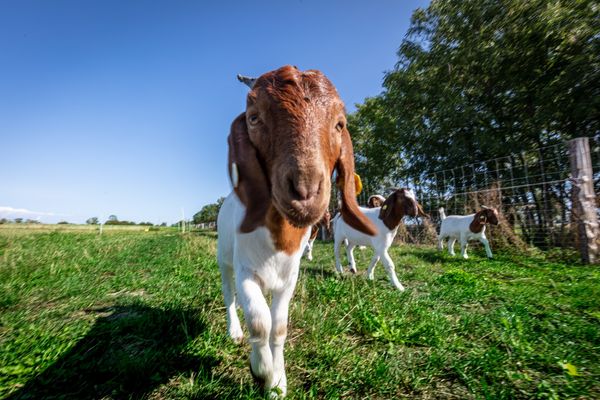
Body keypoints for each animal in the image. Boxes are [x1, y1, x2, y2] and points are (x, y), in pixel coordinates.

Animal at [216, 65, 376, 396]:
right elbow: (259, 321)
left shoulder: (290, 276)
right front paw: (261, 371)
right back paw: (234, 331)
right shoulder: (245, 271)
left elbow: (278, 326)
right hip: (224, 261)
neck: (278, 240)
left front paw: (277, 382)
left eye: (340, 124)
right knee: (228, 296)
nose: (304, 191)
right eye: (253, 117)